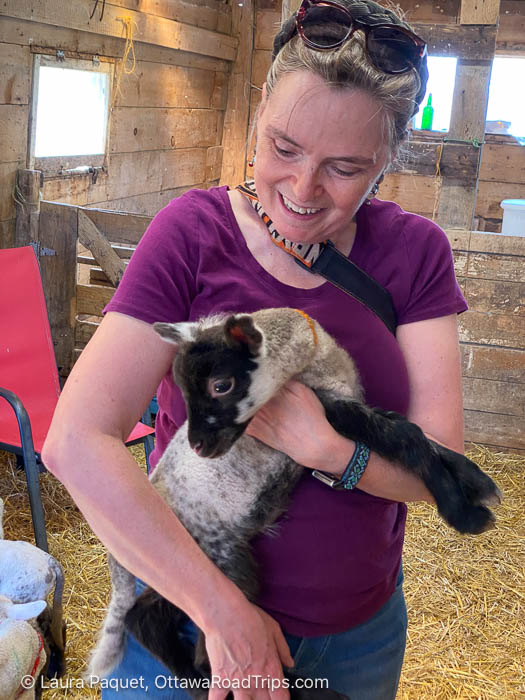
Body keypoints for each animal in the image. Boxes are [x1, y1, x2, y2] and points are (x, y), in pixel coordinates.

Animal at [89, 307, 501, 697]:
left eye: (221, 385)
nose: (198, 446)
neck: (315, 357)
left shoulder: (341, 401)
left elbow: (416, 435)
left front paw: (477, 484)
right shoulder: (329, 410)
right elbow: (405, 437)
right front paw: (465, 514)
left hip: (189, 567)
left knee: (145, 617)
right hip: (216, 565)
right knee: (215, 656)